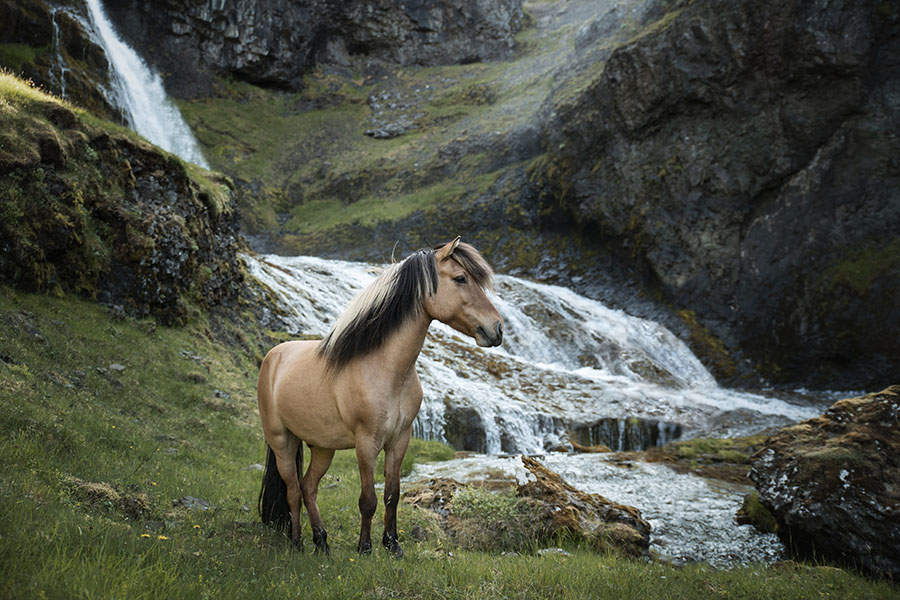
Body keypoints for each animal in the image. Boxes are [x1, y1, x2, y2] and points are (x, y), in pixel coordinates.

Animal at [256, 237, 502, 556]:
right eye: (461, 278)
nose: (497, 329)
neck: (386, 369)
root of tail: (274, 356)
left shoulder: (399, 440)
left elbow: (392, 494)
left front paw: (392, 544)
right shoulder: (366, 443)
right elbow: (368, 499)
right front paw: (365, 547)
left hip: (322, 447)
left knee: (309, 486)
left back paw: (321, 542)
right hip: (282, 442)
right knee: (293, 491)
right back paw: (297, 543)